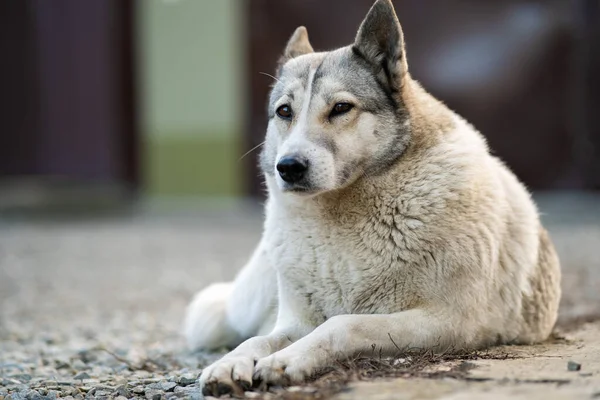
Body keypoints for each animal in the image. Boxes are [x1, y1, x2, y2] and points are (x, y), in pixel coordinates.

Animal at [184, 0, 564, 394]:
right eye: (284, 112)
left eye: (341, 108)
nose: (288, 167)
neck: (341, 217)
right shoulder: (296, 323)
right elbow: (260, 340)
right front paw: (230, 364)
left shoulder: (446, 321)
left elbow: (343, 323)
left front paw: (289, 360)